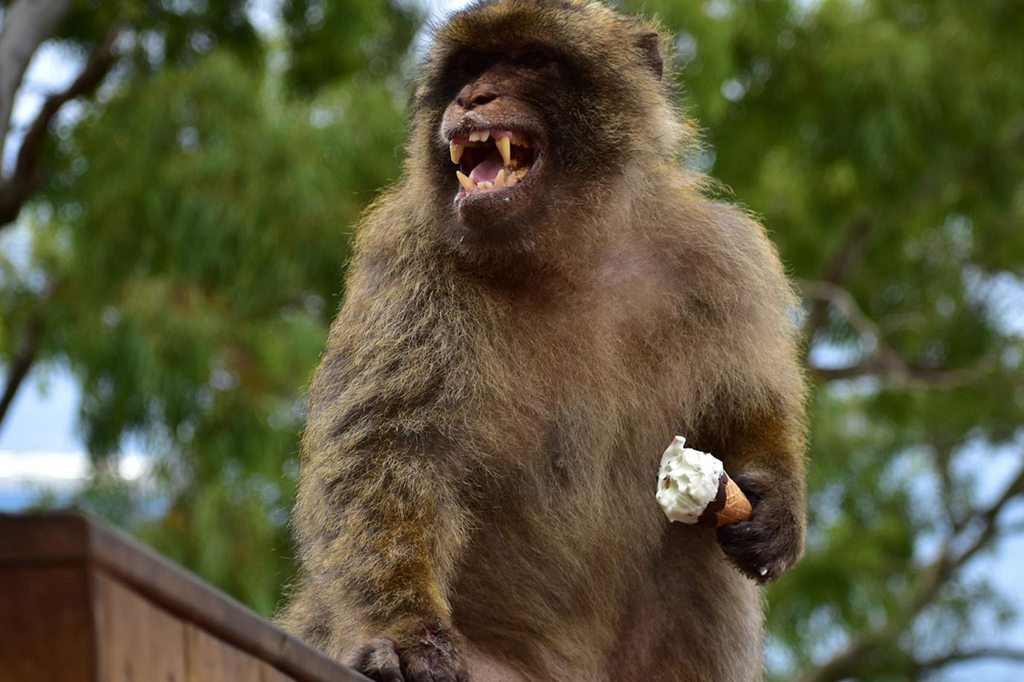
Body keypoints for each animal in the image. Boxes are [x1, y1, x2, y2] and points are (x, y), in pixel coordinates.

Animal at [277, 1, 808, 681]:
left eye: (530, 59)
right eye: (470, 67)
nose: (473, 96)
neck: (569, 253)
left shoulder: (722, 258)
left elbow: (745, 404)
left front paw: (775, 500)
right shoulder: (408, 261)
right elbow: (387, 450)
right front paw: (404, 630)